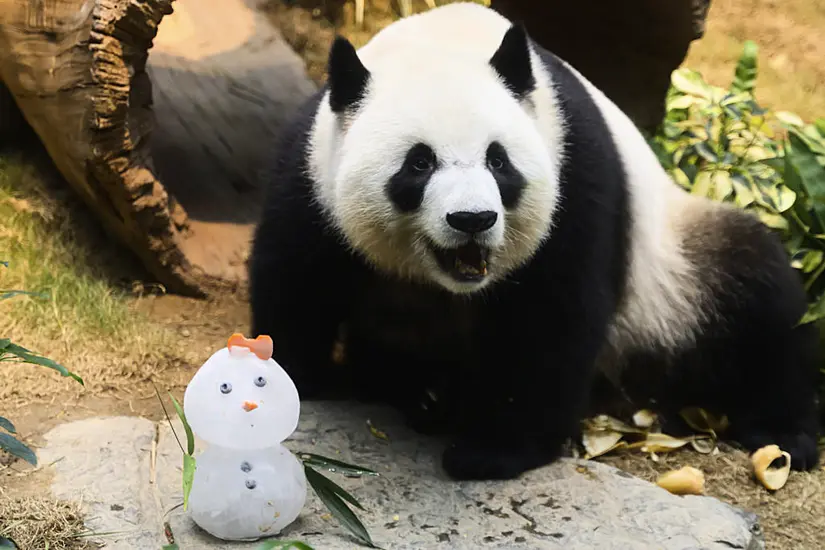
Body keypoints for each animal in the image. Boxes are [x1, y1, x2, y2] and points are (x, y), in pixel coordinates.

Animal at [248, 2, 820, 480]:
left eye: (498, 160)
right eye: (419, 162)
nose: (472, 219)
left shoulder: (574, 175)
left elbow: (552, 321)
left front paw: (493, 452)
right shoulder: (312, 176)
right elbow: (293, 278)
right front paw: (293, 380)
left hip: (674, 274)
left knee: (756, 294)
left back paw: (783, 434)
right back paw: (419, 394)